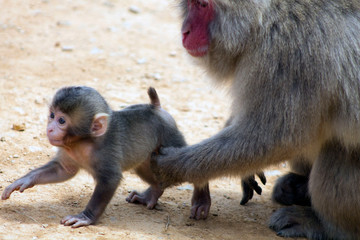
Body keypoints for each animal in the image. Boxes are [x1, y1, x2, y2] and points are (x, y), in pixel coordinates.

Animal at [0, 86, 186, 227]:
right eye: (52, 115)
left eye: (61, 121)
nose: (50, 128)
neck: (83, 141)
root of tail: (156, 108)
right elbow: (63, 170)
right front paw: (25, 180)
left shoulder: (106, 152)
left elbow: (110, 180)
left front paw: (85, 217)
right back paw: (154, 191)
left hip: (170, 138)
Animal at [152, 0, 360, 239]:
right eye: (191, 4)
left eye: (203, 5)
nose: (185, 31)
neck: (267, 21)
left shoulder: (291, 55)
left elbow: (275, 138)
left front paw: (169, 166)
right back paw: (297, 187)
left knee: (337, 149)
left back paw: (323, 225)